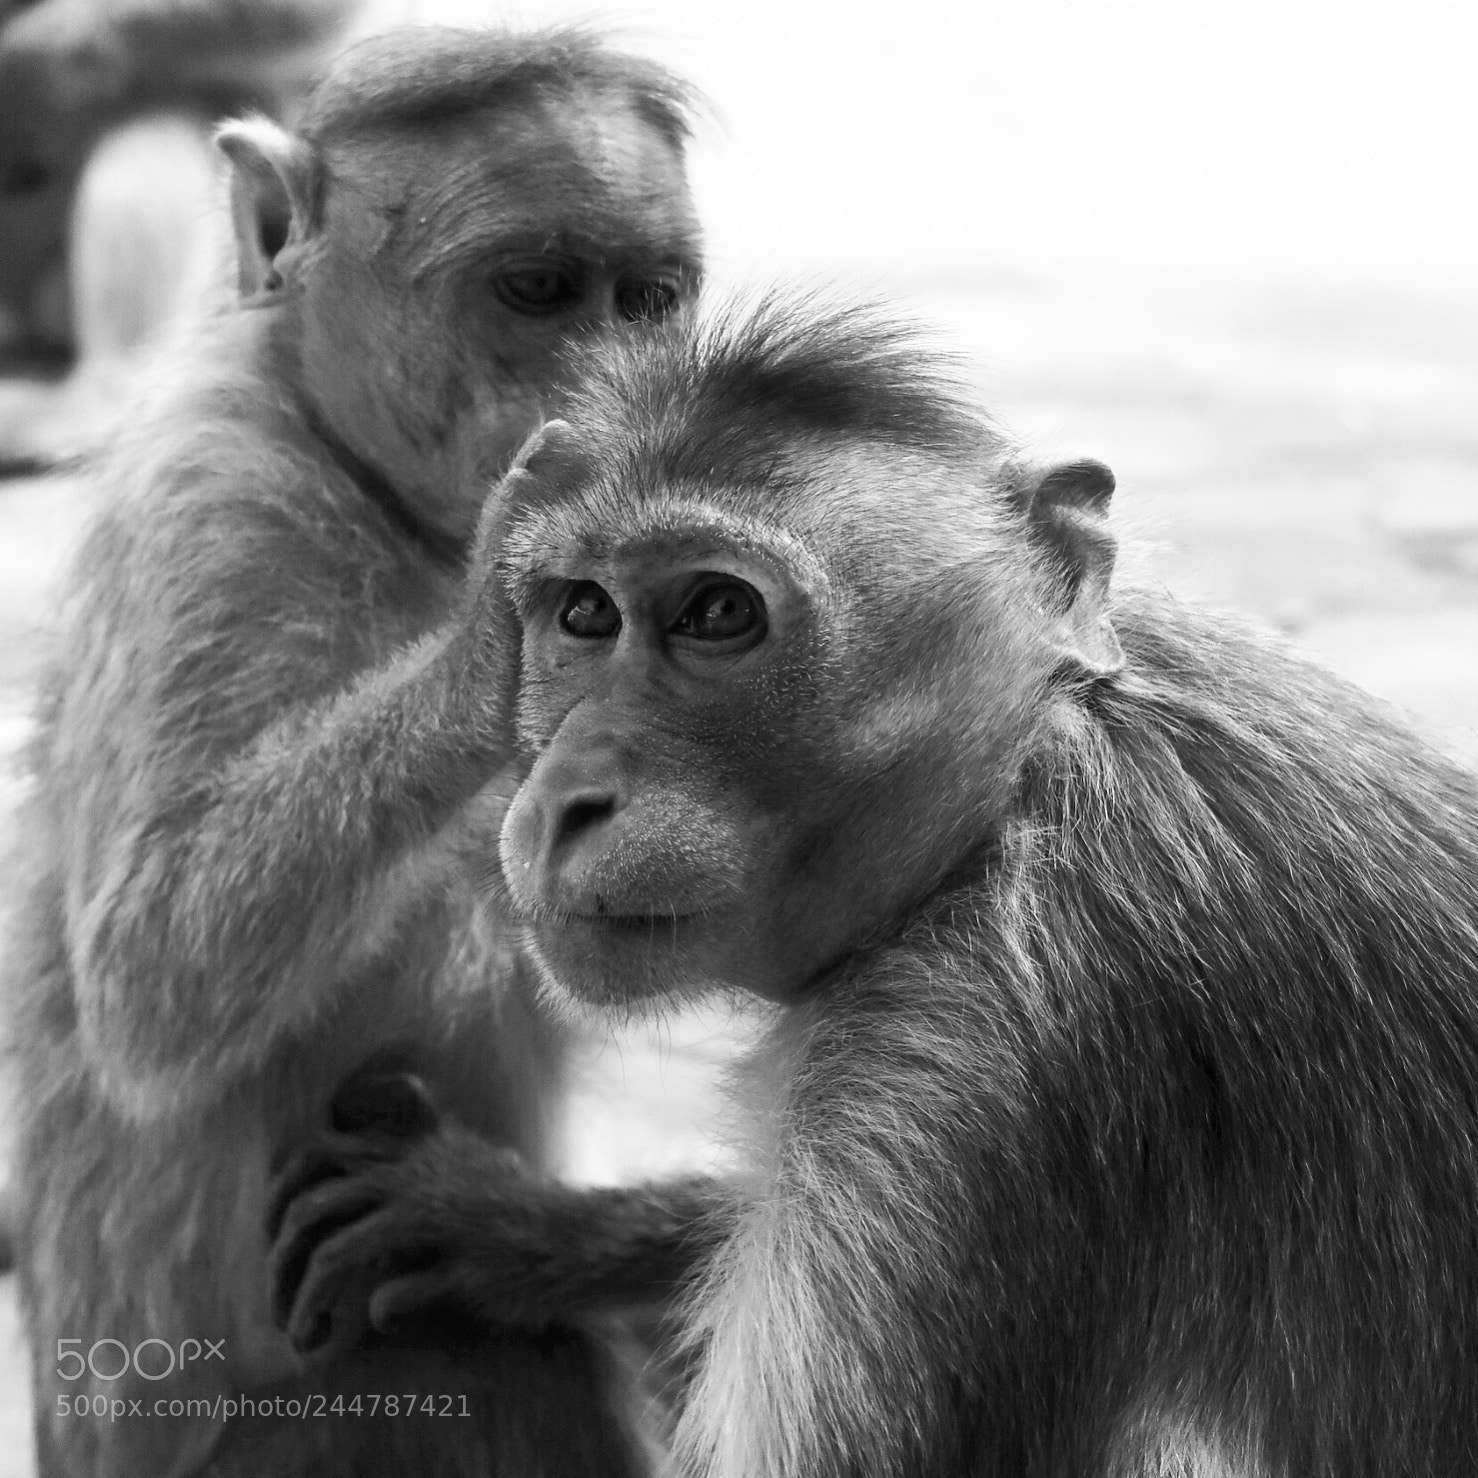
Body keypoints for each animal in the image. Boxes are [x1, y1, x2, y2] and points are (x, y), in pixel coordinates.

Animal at [267, 296, 1478, 1477]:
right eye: (583, 615)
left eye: (717, 613)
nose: (566, 795)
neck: (1008, 799)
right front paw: (517, 1226)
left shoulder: (944, 1084)